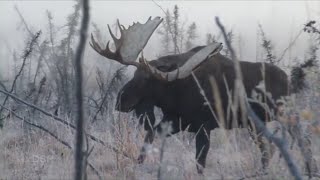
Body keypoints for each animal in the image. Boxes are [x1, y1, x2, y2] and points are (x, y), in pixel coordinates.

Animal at [90, 16, 308, 173]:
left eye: (146, 79)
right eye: (133, 75)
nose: (120, 101)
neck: (173, 92)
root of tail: (290, 81)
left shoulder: (204, 126)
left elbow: (200, 163)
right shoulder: (174, 121)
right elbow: (146, 143)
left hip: (283, 115)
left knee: (296, 141)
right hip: (255, 124)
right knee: (269, 149)